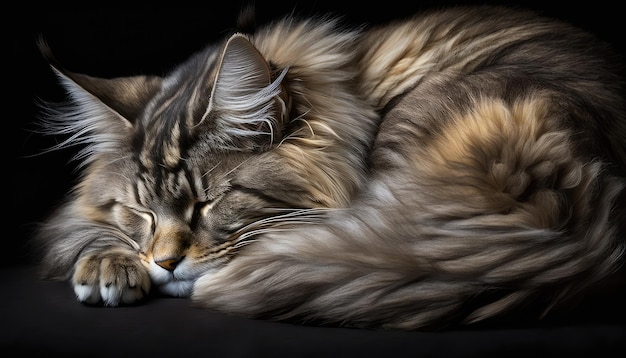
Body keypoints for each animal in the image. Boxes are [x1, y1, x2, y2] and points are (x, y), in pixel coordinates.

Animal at [35, 5, 624, 330]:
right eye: (143, 213)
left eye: (208, 202)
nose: (164, 263)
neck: (352, 96)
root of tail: (567, 222)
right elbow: (82, 227)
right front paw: (108, 264)